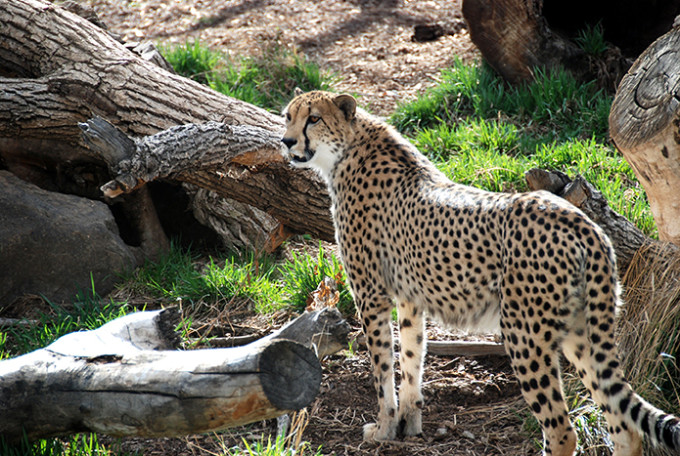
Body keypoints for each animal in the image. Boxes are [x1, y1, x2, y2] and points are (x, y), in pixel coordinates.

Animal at [280, 90, 680, 456]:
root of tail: (581, 222)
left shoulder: (371, 294)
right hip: (582, 331)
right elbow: (411, 357)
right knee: (623, 425)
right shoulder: (410, 298)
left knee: (563, 431)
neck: (347, 149)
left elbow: (381, 366)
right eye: (288, 116)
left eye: (313, 119)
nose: (286, 142)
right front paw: (409, 423)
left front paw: (384, 428)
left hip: (525, 333)